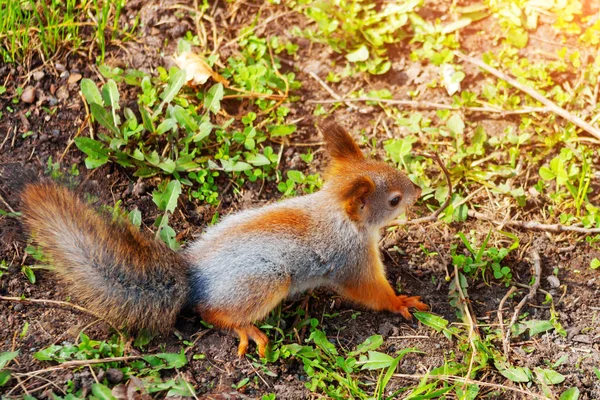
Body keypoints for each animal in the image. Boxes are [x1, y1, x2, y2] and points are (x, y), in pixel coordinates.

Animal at [3, 118, 426, 356]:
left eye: (387, 163)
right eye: (393, 199)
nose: (418, 190)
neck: (336, 212)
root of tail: (195, 277)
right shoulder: (351, 259)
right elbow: (370, 291)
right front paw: (401, 301)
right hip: (267, 280)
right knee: (211, 312)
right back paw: (246, 330)